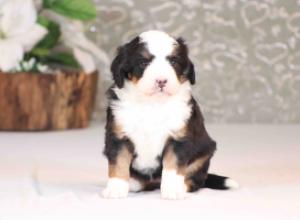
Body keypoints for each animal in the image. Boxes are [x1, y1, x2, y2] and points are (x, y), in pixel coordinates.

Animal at [102, 29, 237, 199]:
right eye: (143, 63)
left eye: (173, 62)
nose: (161, 81)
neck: (152, 105)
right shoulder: (118, 136)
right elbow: (119, 163)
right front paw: (116, 188)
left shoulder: (178, 138)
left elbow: (173, 166)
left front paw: (172, 190)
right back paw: (132, 183)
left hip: (204, 154)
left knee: (196, 181)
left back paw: (182, 187)